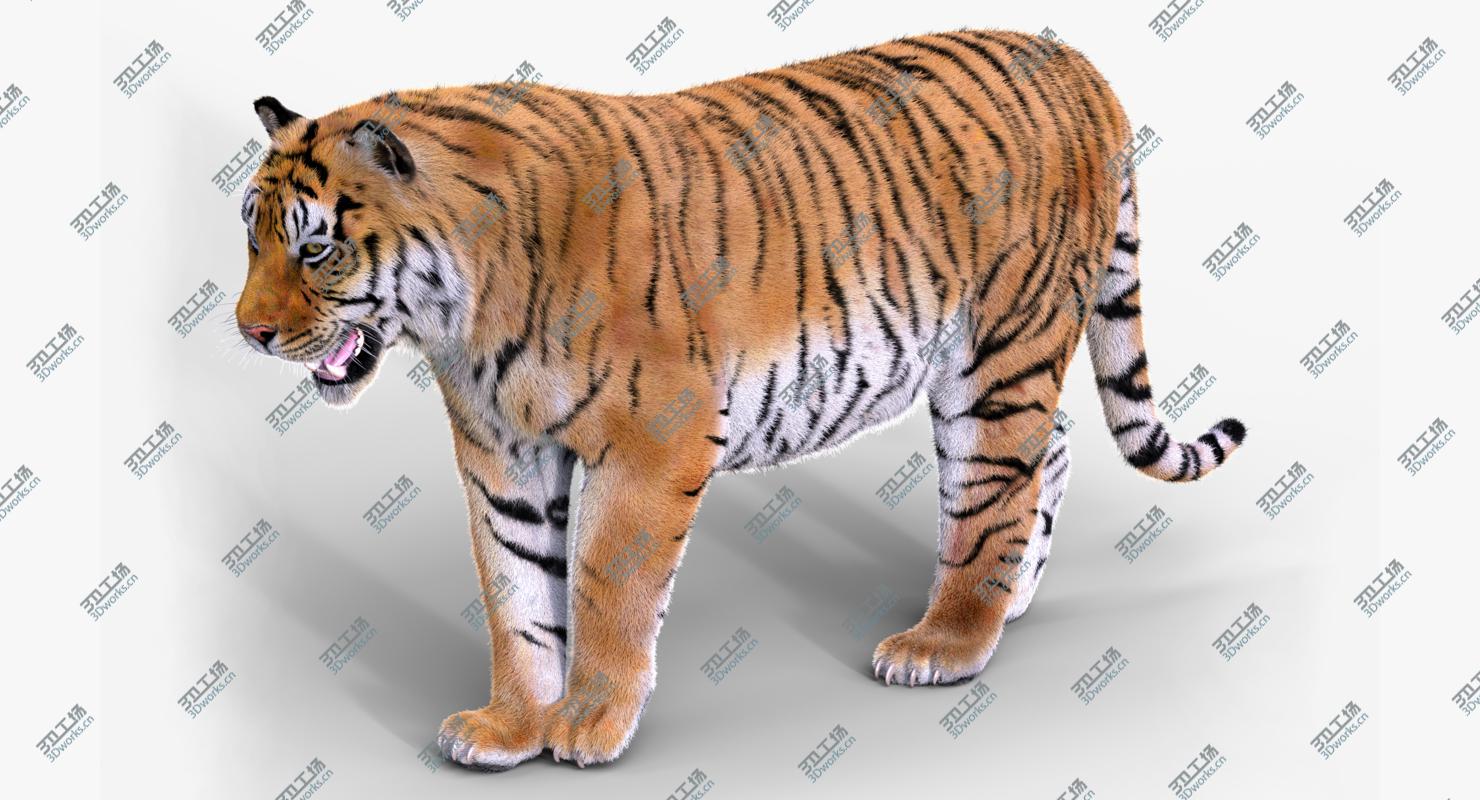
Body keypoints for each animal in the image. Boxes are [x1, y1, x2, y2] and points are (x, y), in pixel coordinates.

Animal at [234, 28, 1246, 769]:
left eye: (316, 247)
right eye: (252, 236)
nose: (247, 332)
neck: (464, 316)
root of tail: (1073, 58)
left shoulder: (655, 440)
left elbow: (607, 585)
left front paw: (589, 725)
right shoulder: (503, 456)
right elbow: (516, 592)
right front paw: (510, 727)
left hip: (998, 351)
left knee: (995, 487)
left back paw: (947, 642)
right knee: (1056, 446)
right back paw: (1012, 603)